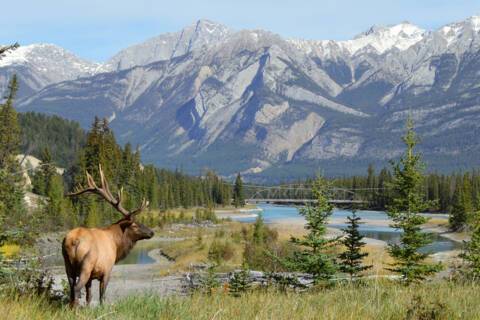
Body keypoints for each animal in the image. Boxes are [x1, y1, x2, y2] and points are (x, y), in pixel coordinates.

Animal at [61, 166, 153, 306]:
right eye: (135, 225)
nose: (152, 232)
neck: (116, 243)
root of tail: (73, 241)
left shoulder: (91, 276)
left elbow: (89, 296)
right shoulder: (107, 270)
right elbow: (102, 297)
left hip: (67, 265)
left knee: (71, 289)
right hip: (86, 264)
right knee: (76, 289)